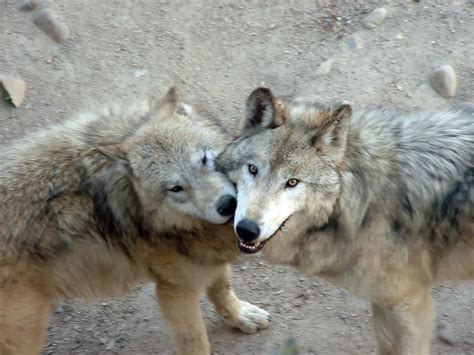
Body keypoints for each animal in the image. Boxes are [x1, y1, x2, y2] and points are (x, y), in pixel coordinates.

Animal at [0, 87, 270, 355]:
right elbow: (196, 342)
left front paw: (240, 316)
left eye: (204, 159)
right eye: (175, 188)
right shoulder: (175, 290)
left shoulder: (205, 257)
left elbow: (221, 288)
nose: (228, 205)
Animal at [218, 87, 474, 355]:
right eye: (253, 169)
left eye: (292, 182)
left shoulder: (410, 306)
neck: (362, 202)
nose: (247, 230)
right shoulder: (383, 301)